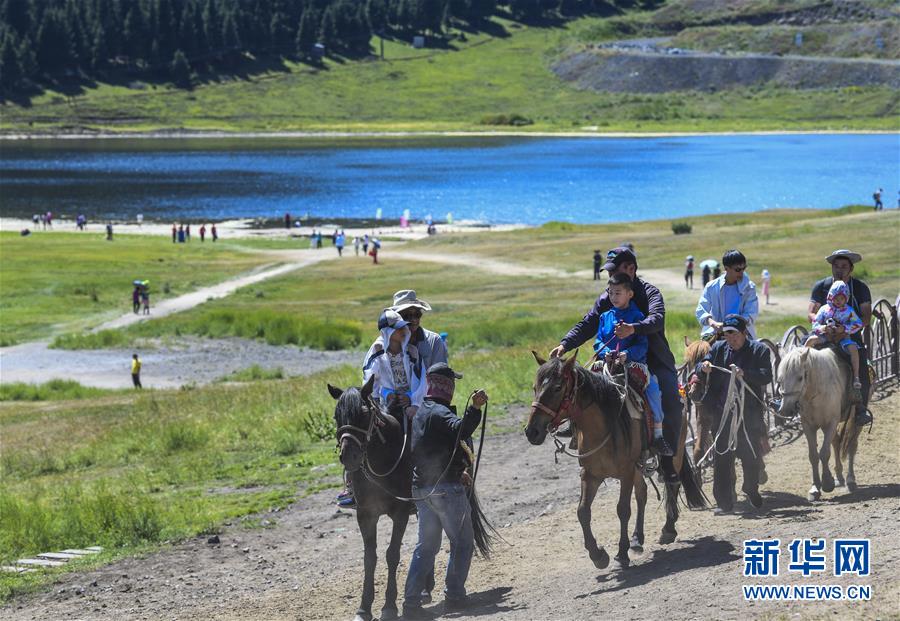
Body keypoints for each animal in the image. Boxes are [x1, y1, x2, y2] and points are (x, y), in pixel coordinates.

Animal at [524, 352, 708, 568]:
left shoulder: (626, 472)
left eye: (557, 387)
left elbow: (623, 509)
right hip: (638, 467)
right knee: (643, 493)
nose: (531, 431)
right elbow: (582, 511)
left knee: (673, 483)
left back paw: (668, 529)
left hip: (674, 453)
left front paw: (621, 553)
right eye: (535, 388)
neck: (602, 426)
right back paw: (637, 539)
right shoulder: (590, 475)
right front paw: (598, 556)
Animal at [776, 346, 860, 502]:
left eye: (800, 377)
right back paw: (839, 476)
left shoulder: (831, 423)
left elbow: (824, 453)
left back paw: (850, 479)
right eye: (779, 380)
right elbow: (813, 455)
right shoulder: (808, 426)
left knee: (852, 444)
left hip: (854, 418)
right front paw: (815, 488)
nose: (786, 409)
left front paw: (827, 483)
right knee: (836, 442)